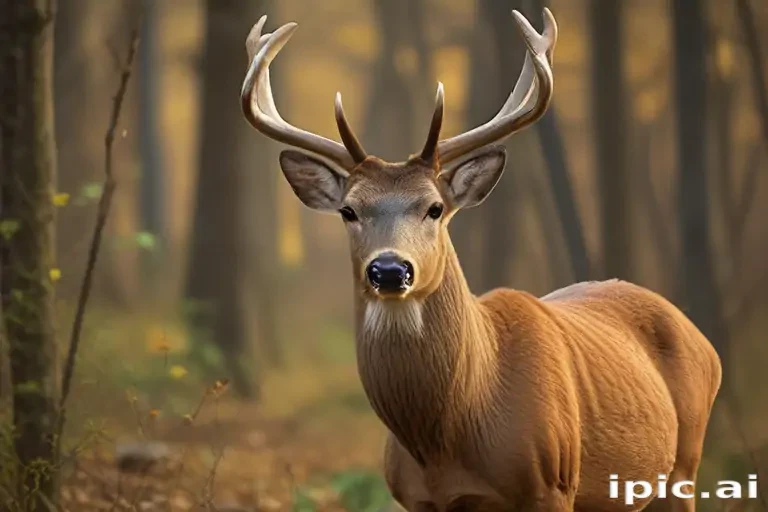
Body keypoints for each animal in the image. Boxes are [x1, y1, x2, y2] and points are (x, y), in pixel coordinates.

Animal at [240, 9, 722, 512]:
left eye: (435, 207)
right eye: (349, 210)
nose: (389, 269)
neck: (445, 444)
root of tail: (704, 341)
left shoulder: (552, 484)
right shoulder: (413, 498)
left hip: (682, 466)